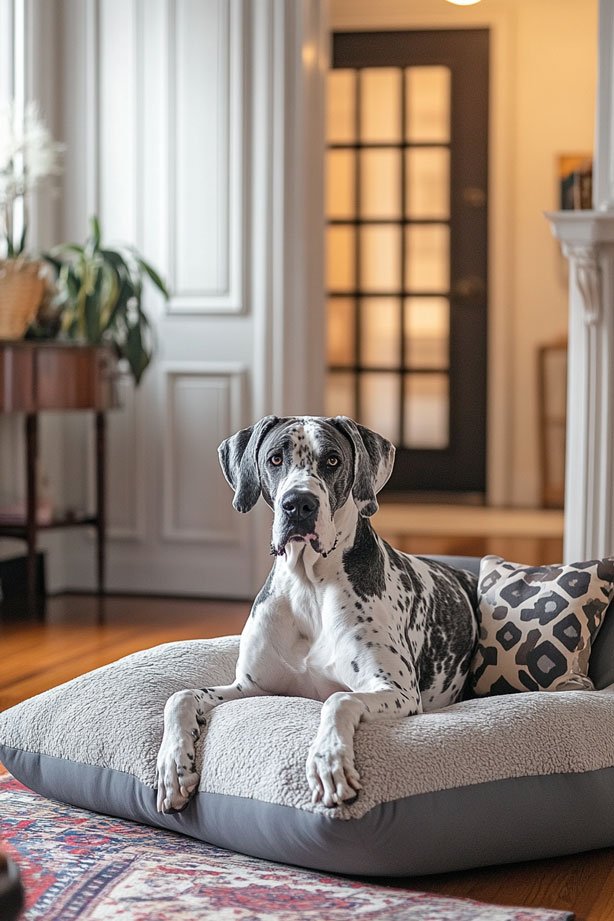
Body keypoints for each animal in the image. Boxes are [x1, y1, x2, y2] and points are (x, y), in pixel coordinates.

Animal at [156, 416, 478, 812]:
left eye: (332, 461)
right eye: (276, 459)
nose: (298, 504)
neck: (308, 584)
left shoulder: (397, 691)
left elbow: (338, 699)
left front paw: (329, 762)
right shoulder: (252, 687)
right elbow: (180, 696)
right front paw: (173, 767)